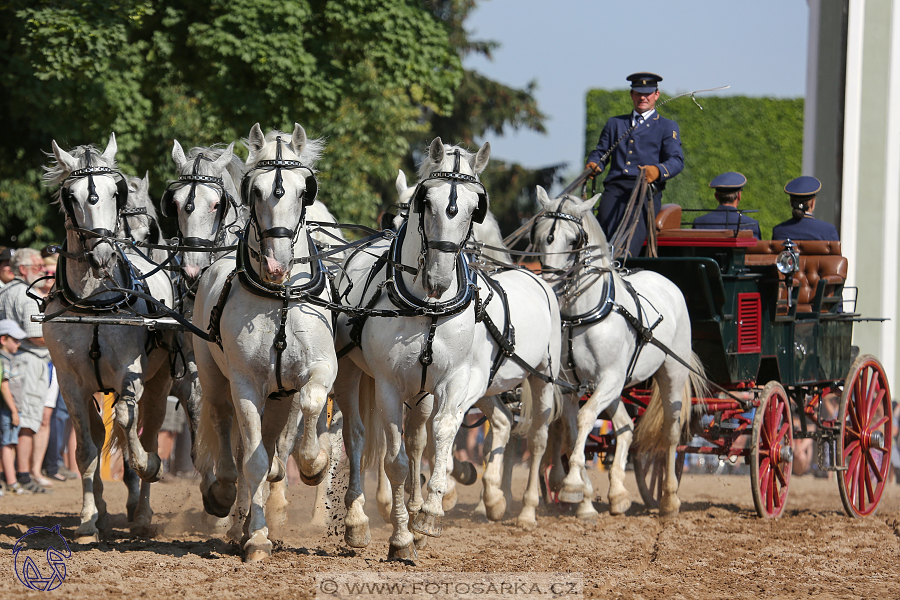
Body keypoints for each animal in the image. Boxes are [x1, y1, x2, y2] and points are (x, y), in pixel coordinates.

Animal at [42, 134, 176, 540]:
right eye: (71, 195)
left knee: (148, 431)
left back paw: (143, 509)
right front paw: (88, 518)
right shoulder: (70, 383)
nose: (102, 253)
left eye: (113, 192)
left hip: (162, 381)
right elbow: (86, 449)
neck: (94, 301)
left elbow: (128, 424)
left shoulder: (130, 375)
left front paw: (148, 466)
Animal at [193, 123, 338, 564]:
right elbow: (253, 460)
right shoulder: (245, 385)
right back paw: (228, 501)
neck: (280, 298)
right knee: (225, 428)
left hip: (279, 398)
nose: (276, 263)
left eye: (304, 189)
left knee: (276, 441)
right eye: (254, 190)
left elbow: (311, 403)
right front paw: (255, 537)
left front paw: (313, 464)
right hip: (214, 376)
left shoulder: (320, 369)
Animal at [532, 189, 708, 520]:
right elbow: (573, 432)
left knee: (671, 433)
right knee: (626, 428)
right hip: (617, 388)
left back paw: (669, 499)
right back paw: (618, 496)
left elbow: (586, 419)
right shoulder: (573, 385)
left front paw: (572, 485)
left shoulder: (609, 378)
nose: (550, 285)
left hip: (670, 373)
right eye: (538, 237)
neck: (582, 314)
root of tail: (666, 281)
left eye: (574, 240)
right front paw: (583, 495)